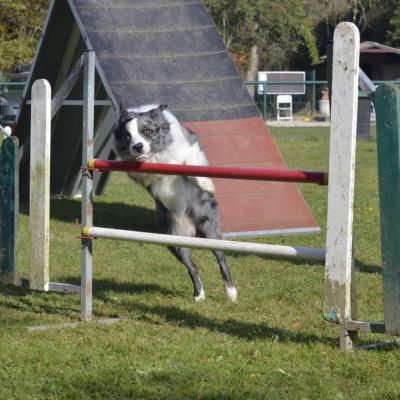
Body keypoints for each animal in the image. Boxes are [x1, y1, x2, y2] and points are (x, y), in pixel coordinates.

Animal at [111, 104, 238, 302]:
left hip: (209, 227)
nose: (137, 147)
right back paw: (199, 295)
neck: (157, 152)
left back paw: (231, 292)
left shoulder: (189, 145)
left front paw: (206, 184)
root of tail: (191, 228)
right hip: (172, 239)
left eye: (147, 131)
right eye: (127, 136)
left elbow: (190, 162)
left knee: (221, 259)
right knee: (192, 266)